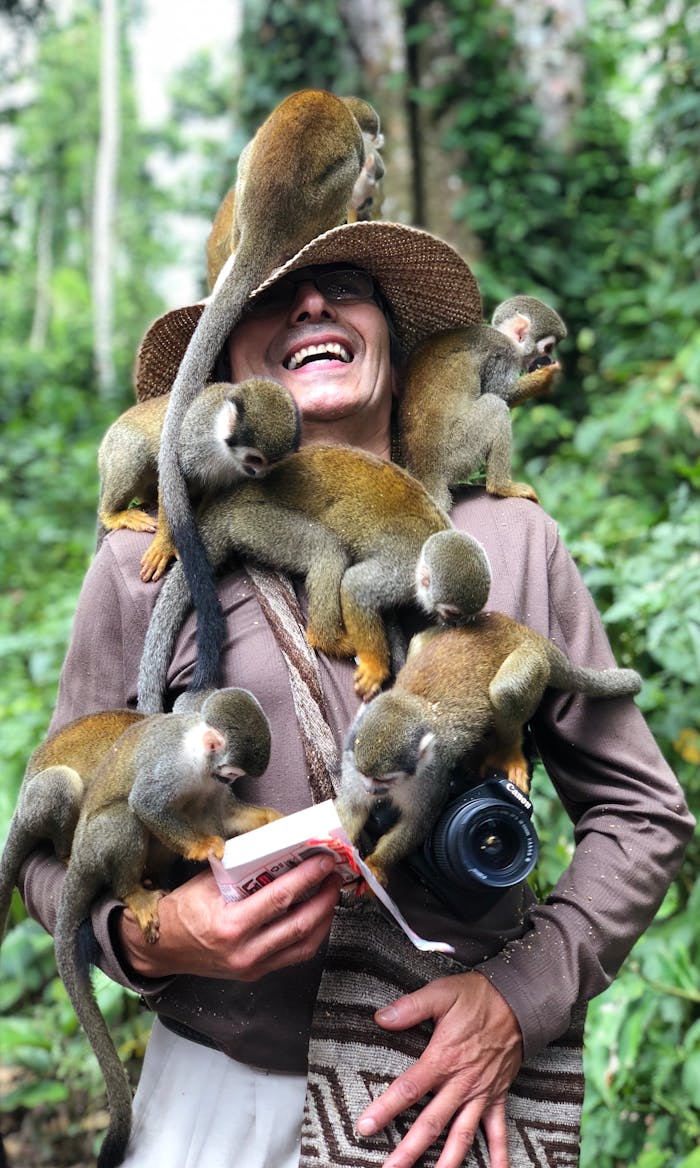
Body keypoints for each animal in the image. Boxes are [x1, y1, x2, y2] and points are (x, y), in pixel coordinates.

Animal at [50, 687, 278, 1168]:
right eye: (232, 769)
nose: (227, 778)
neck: (196, 750)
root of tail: (77, 858)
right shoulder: (173, 766)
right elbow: (147, 804)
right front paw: (205, 848)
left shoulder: (209, 783)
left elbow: (223, 812)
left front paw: (268, 820)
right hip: (96, 846)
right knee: (126, 818)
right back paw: (134, 891)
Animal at [95, 377, 300, 580]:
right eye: (255, 459)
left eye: (273, 462)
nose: (259, 473)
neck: (223, 448)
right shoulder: (192, 435)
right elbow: (172, 477)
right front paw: (166, 545)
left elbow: (214, 491)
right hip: (115, 443)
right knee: (135, 450)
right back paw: (111, 515)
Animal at [135, 445, 494, 712]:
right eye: (451, 613)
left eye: (463, 618)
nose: (451, 625)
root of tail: (226, 505)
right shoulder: (400, 570)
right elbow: (355, 586)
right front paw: (376, 665)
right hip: (254, 523)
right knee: (327, 549)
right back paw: (327, 638)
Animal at [335, 615, 642, 886]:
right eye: (364, 775)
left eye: (383, 779)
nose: (371, 789)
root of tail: (524, 633)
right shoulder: (352, 758)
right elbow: (352, 807)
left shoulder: (432, 777)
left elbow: (416, 824)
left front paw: (375, 866)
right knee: (421, 642)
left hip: (530, 659)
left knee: (505, 690)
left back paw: (509, 752)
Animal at [399, 295, 568, 512]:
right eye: (548, 348)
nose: (549, 358)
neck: (502, 335)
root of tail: (427, 473)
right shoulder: (502, 353)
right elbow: (501, 393)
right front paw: (545, 378)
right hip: (456, 453)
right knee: (495, 405)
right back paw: (501, 486)